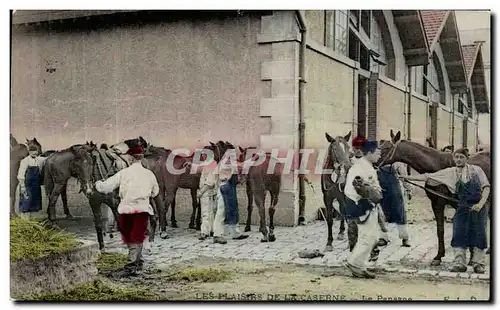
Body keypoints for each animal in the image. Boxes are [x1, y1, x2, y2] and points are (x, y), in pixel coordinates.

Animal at [378, 130, 492, 266]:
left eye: (386, 148)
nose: (373, 162)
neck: (436, 166)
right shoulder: (437, 203)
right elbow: (440, 230)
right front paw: (439, 256)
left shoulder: (449, 203)